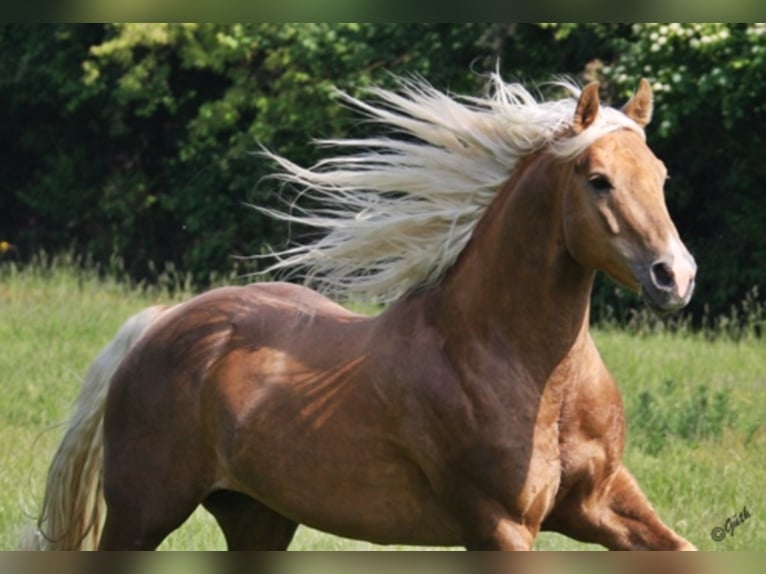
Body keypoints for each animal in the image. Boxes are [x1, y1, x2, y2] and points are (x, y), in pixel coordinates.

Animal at [22, 74, 698, 550]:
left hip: (258, 518)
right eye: (598, 179)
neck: (529, 372)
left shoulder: (603, 503)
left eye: (662, 175)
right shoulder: (500, 526)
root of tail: (162, 323)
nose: (676, 276)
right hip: (143, 512)